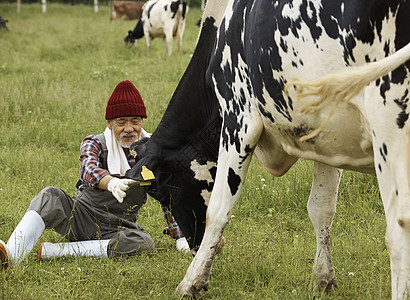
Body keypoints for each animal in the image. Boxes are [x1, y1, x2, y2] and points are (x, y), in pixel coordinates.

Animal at [125, 0, 410, 298]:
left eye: (162, 191)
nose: (192, 244)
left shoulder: (238, 117)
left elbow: (218, 208)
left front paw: (191, 282)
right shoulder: (327, 135)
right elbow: (321, 207)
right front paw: (322, 279)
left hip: (389, 119)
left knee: (399, 230)